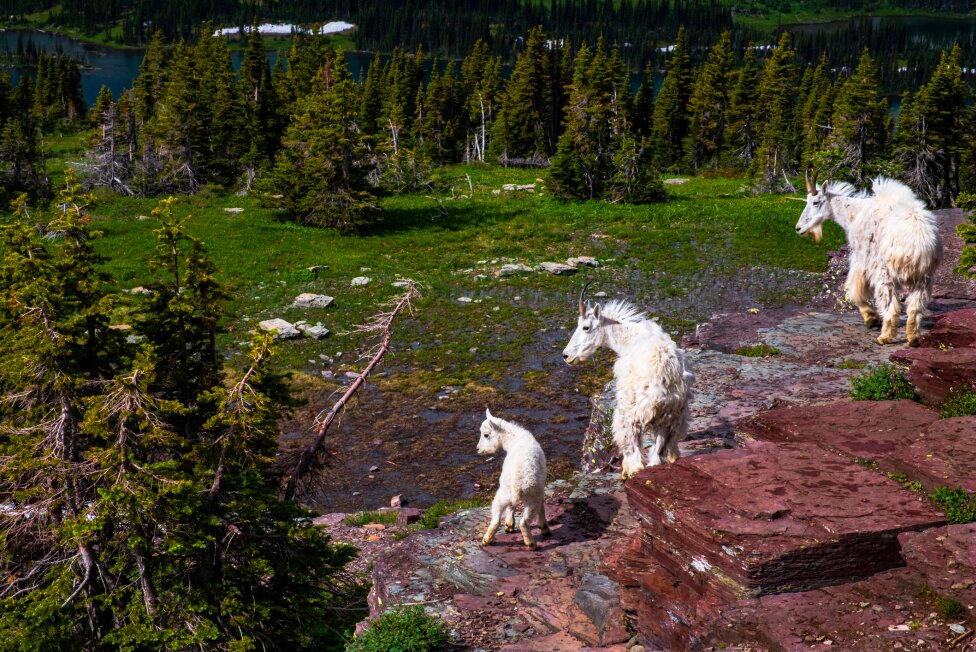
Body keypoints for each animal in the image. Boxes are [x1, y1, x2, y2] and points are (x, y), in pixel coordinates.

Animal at [478, 412, 548, 552]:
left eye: (486, 435)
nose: (478, 449)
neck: (515, 439)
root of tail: (518, 484)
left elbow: (511, 507)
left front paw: (509, 525)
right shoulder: (540, 489)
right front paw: (543, 526)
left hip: (505, 494)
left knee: (496, 519)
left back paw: (487, 540)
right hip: (532, 496)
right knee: (524, 522)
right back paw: (531, 544)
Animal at [556, 288, 692, 482]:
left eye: (586, 327)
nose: (566, 356)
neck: (629, 337)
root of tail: (663, 372)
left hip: (632, 408)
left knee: (631, 440)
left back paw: (630, 470)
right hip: (675, 412)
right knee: (662, 446)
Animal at [796, 171, 940, 348]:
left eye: (815, 202)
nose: (799, 228)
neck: (854, 213)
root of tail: (917, 245)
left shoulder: (861, 257)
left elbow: (854, 289)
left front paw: (871, 318)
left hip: (885, 273)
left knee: (891, 306)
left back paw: (884, 337)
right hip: (924, 277)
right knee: (915, 307)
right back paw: (913, 338)